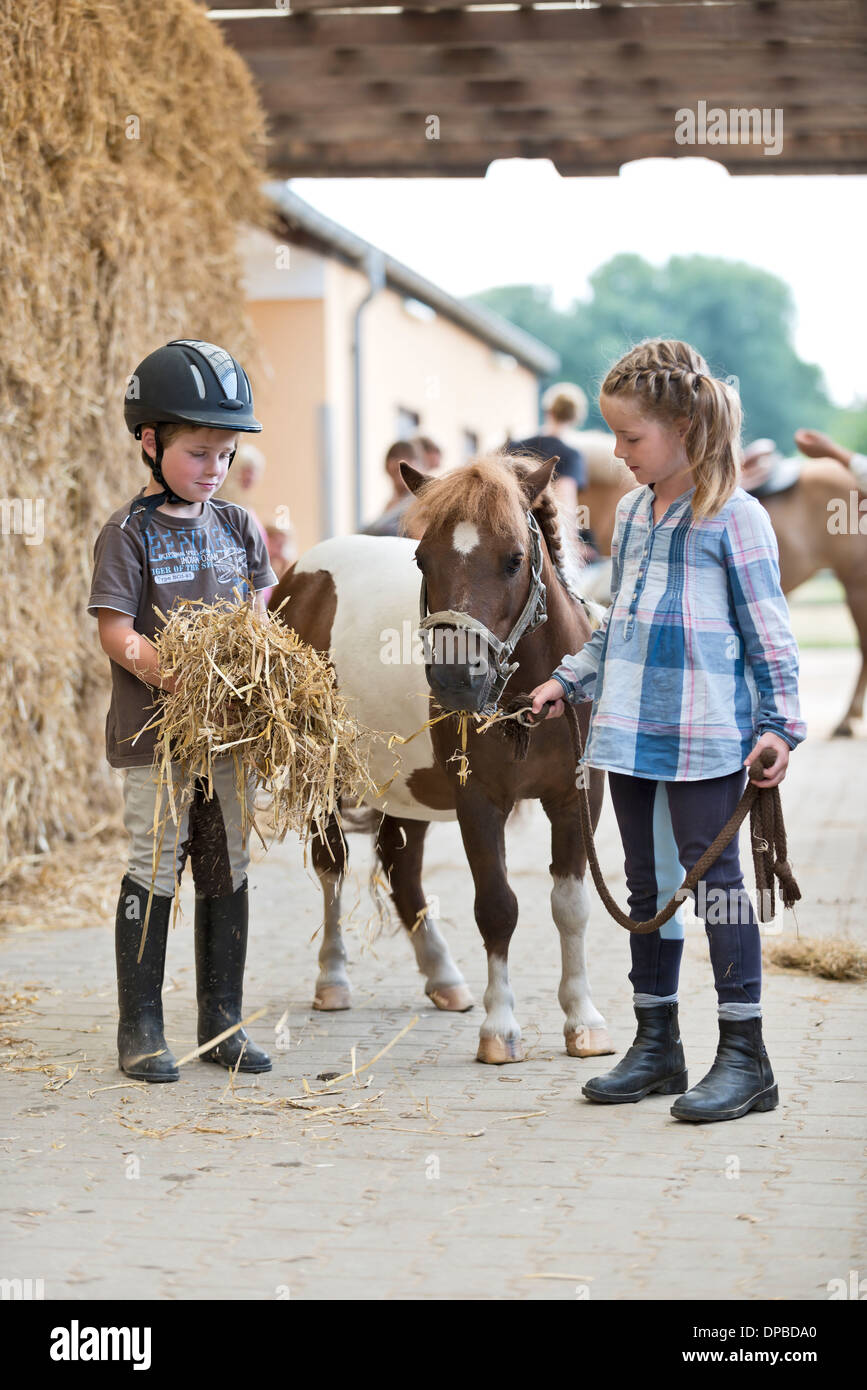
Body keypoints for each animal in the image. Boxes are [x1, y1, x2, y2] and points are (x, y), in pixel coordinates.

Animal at [268, 455, 614, 1061]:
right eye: (421, 559)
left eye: (514, 559)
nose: (455, 679)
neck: (531, 698)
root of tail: (297, 578)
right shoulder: (478, 802)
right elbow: (497, 908)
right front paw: (500, 1028)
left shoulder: (576, 799)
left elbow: (570, 906)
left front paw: (582, 1019)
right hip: (326, 777)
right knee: (332, 865)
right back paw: (333, 978)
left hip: (408, 789)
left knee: (401, 871)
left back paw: (443, 977)